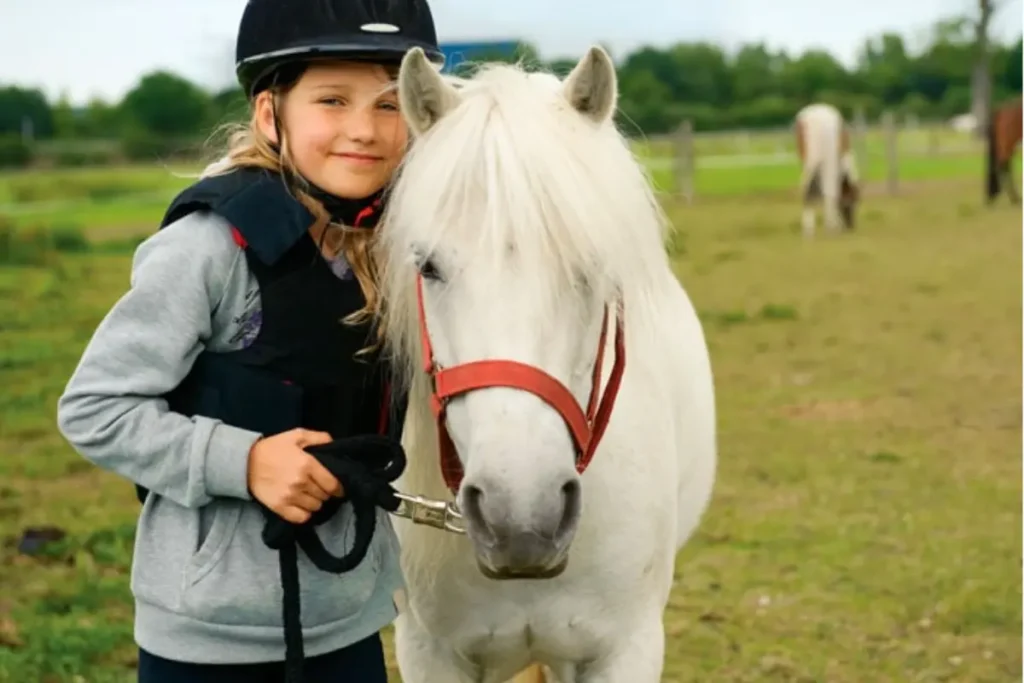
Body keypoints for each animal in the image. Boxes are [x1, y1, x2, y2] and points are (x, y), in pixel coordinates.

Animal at [794, 102, 861, 236]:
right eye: (851, 200)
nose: (850, 226)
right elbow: (832, 191)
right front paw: (834, 225)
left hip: (808, 162)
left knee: (806, 188)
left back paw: (808, 230)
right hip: (824, 161)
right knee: (828, 189)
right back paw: (829, 226)